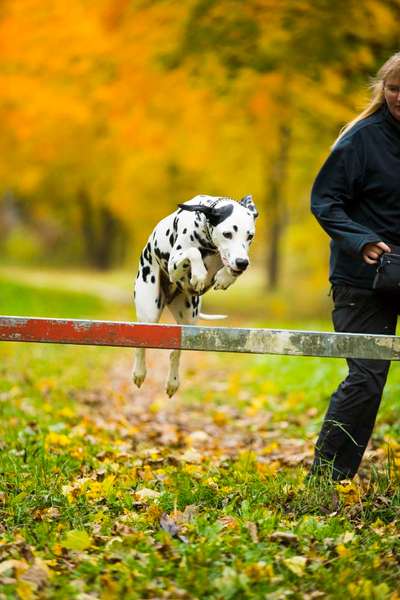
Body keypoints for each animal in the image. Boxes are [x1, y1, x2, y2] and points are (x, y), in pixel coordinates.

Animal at [133, 195, 258, 396]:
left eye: (250, 236)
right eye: (227, 234)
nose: (242, 262)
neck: (210, 245)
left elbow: (228, 270)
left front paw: (225, 277)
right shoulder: (174, 264)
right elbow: (193, 251)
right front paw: (199, 274)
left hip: (188, 321)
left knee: (175, 352)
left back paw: (173, 382)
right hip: (149, 313)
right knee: (140, 344)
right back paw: (139, 373)